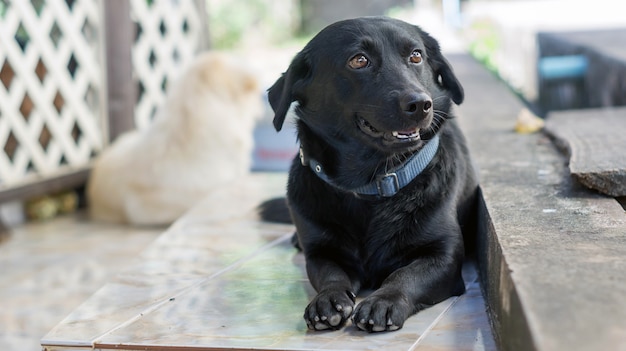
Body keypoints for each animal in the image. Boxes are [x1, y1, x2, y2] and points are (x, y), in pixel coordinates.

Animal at [260, 16, 476, 334]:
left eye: (416, 56)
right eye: (359, 60)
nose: (420, 104)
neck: (371, 184)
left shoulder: (443, 256)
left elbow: (405, 275)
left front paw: (384, 300)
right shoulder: (322, 253)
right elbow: (330, 275)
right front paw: (328, 299)